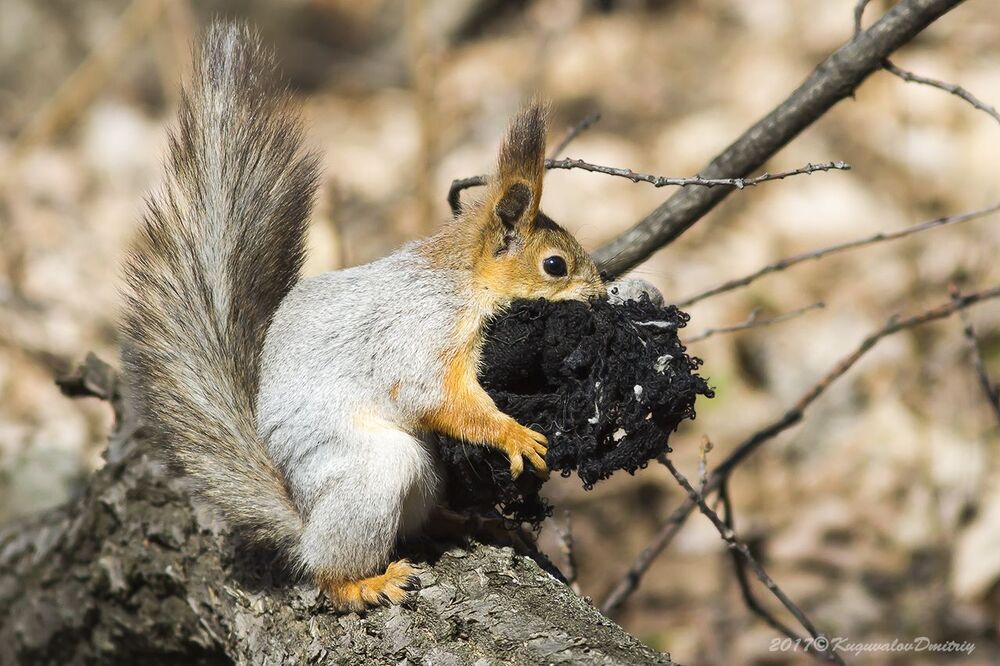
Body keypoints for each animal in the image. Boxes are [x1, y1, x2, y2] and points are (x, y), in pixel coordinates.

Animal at [120, 23, 607, 612]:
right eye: (555, 265)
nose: (603, 293)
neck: (462, 281)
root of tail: (303, 516)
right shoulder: (420, 333)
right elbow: (432, 395)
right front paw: (510, 434)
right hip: (373, 471)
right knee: (330, 566)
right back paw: (362, 582)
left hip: (421, 475)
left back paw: (463, 521)